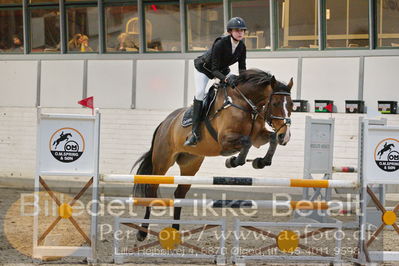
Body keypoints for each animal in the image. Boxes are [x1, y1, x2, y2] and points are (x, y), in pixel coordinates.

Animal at [133, 69, 292, 241]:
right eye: (275, 103)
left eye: (291, 105)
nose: (285, 136)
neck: (246, 104)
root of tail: (165, 122)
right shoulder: (225, 139)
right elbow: (247, 141)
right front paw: (234, 160)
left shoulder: (258, 136)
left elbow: (271, 138)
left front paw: (261, 161)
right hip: (162, 162)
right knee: (151, 190)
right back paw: (142, 232)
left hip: (191, 164)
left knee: (179, 193)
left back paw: (175, 231)